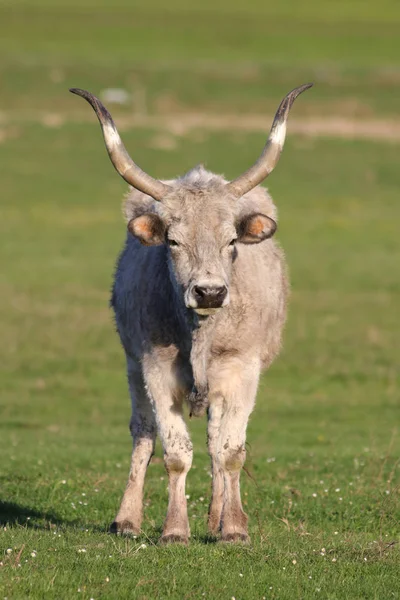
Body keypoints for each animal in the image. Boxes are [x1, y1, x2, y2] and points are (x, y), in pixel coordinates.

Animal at [70, 82, 312, 548]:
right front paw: (174, 530)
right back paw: (127, 519)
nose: (210, 292)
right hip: (133, 368)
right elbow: (175, 453)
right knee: (143, 434)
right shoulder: (156, 369)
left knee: (217, 442)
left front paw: (233, 528)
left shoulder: (242, 370)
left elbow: (230, 451)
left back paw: (217, 516)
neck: (200, 333)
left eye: (232, 239)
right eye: (174, 241)